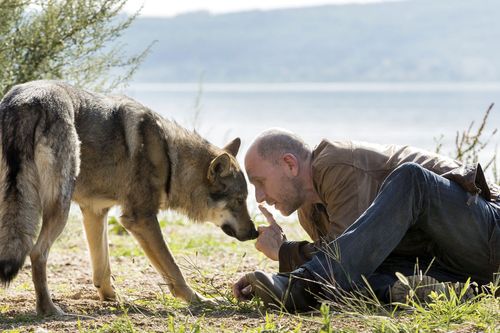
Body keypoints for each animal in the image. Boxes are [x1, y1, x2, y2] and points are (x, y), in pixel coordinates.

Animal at [0, 80, 258, 314]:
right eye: (239, 200)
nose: (255, 232)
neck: (170, 160)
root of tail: (26, 102)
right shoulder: (140, 218)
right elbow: (173, 268)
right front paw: (199, 300)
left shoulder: (95, 212)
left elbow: (102, 269)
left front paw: (113, 299)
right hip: (59, 209)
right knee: (37, 252)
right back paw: (49, 309)